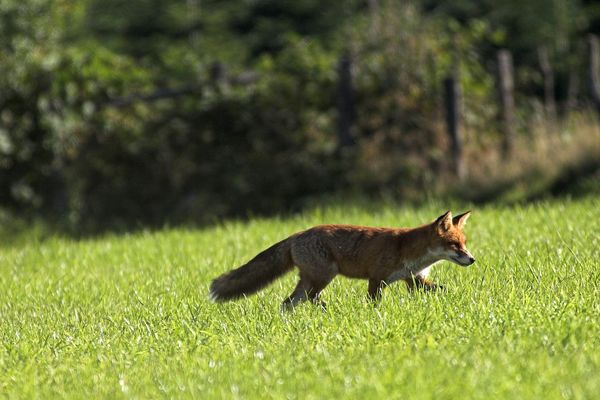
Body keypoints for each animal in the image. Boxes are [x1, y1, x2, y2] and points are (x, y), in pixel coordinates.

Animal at [209, 211, 476, 310]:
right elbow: (374, 302)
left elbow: (442, 289)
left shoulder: (414, 281)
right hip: (324, 276)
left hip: (312, 280)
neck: (409, 250)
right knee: (308, 298)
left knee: (289, 302)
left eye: (464, 243)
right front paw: (374, 316)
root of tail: (296, 235)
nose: (472, 259)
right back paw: (327, 310)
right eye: (454, 245)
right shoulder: (376, 278)